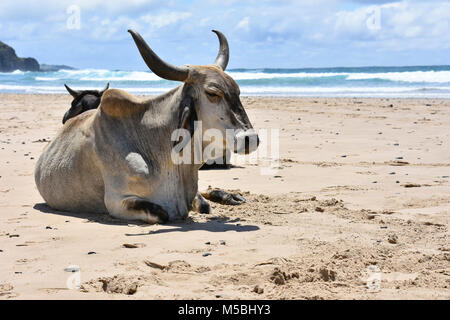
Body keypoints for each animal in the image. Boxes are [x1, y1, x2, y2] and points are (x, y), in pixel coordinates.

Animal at [33, 30, 258, 224]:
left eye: (237, 91)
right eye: (212, 93)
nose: (251, 139)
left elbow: (203, 204)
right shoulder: (116, 202)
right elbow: (162, 213)